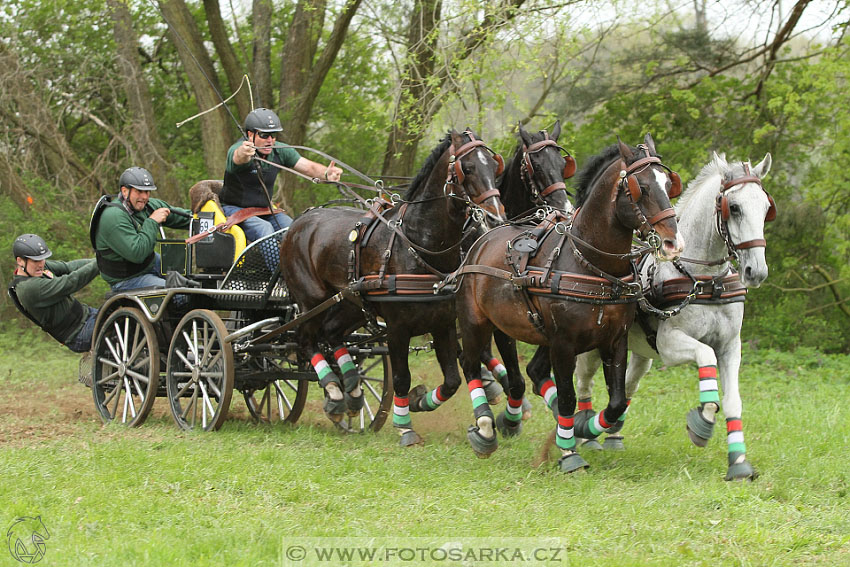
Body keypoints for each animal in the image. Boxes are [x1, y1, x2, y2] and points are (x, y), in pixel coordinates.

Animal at [278, 129, 504, 444]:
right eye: (467, 168)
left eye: (495, 167)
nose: (495, 218)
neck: (417, 243)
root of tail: (300, 220)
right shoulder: (398, 329)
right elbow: (401, 377)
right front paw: (405, 426)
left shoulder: (443, 323)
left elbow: (451, 380)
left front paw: (419, 401)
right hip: (311, 300)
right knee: (306, 340)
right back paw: (335, 393)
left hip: (351, 303)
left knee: (331, 333)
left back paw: (352, 391)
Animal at [454, 134, 684, 470]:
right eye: (640, 186)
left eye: (668, 184)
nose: (672, 242)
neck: (591, 264)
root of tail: (482, 240)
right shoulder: (563, 344)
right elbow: (567, 397)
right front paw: (569, 452)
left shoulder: (615, 341)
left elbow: (616, 403)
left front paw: (582, 428)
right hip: (474, 322)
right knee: (470, 366)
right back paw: (484, 429)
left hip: (506, 325)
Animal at [568, 153, 776, 482]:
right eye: (735, 207)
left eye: (766, 208)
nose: (756, 271)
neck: (705, 280)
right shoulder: (669, 343)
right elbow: (706, 357)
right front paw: (702, 422)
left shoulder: (731, 346)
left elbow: (733, 401)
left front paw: (739, 462)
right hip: (593, 348)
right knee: (584, 382)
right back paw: (584, 435)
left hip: (642, 353)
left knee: (628, 385)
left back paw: (613, 434)